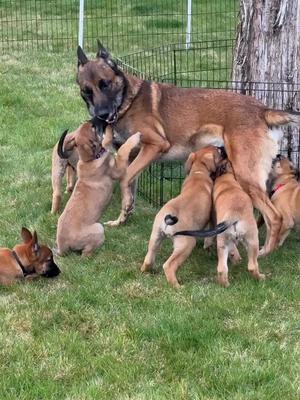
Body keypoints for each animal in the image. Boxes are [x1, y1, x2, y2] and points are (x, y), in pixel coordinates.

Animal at [56, 120, 141, 256]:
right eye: (93, 127)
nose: (92, 120)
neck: (89, 160)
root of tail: (63, 247)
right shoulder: (117, 169)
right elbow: (122, 151)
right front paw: (135, 137)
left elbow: (106, 141)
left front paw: (109, 132)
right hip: (98, 229)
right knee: (85, 254)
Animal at [75, 42, 300, 255]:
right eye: (87, 90)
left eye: (105, 84)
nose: (102, 115)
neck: (127, 101)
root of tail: (263, 110)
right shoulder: (134, 156)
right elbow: (130, 185)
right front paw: (123, 217)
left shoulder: (155, 145)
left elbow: (124, 179)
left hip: (246, 176)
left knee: (275, 216)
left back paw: (264, 252)